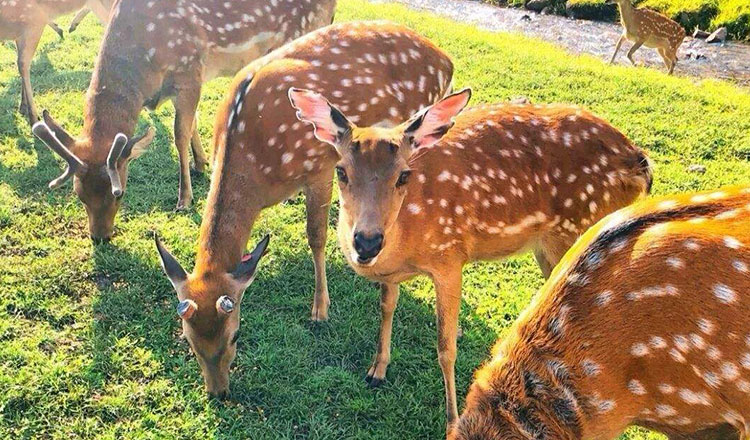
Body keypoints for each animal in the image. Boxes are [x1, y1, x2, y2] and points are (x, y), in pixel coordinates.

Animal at [156, 20, 456, 398]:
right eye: (189, 340)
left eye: (235, 333)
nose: (219, 392)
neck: (257, 162)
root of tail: (446, 60)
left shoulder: (320, 166)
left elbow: (316, 236)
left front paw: (320, 310)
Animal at [290, 87, 656, 434]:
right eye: (341, 171)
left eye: (404, 176)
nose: (366, 242)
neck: (405, 244)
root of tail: (640, 163)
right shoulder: (393, 275)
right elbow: (387, 307)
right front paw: (377, 370)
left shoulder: (450, 257)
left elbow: (445, 345)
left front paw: (451, 419)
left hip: (578, 231)